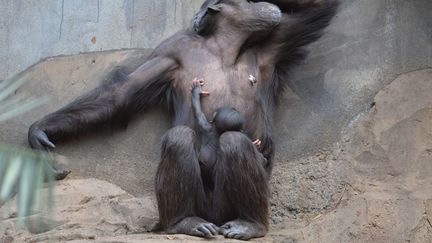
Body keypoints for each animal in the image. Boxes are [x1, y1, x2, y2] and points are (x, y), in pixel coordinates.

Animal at [27, 0, 340, 239]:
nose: (260, 2)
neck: (225, 47)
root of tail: (214, 218)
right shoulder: (172, 50)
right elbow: (121, 93)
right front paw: (41, 131)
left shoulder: (276, 43)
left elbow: (316, 10)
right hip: (202, 206)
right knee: (179, 139)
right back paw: (184, 221)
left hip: (228, 207)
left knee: (235, 143)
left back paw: (250, 224)